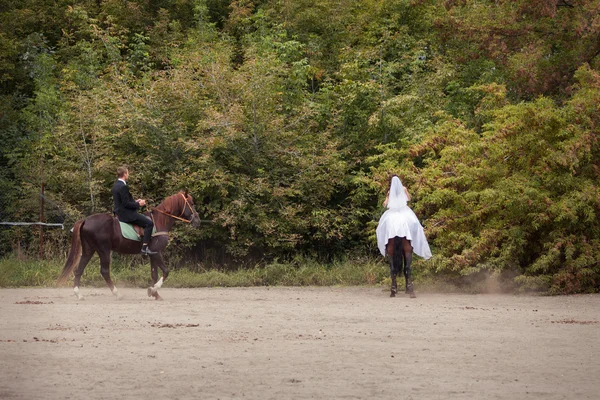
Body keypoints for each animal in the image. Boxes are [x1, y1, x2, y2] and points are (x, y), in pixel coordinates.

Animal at [57, 191, 202, 300]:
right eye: (191, 203)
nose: (197, 220)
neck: (160, 221)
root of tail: (86, 220)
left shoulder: (152, 254)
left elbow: (154, 274)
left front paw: (155, 294)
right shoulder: (157, 252)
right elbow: (166, 272)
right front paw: (153, 290)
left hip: (89, 250)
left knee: (79, 269)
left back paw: (79, 294)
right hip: (104, 250)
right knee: (104, 271)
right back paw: (117, 294)